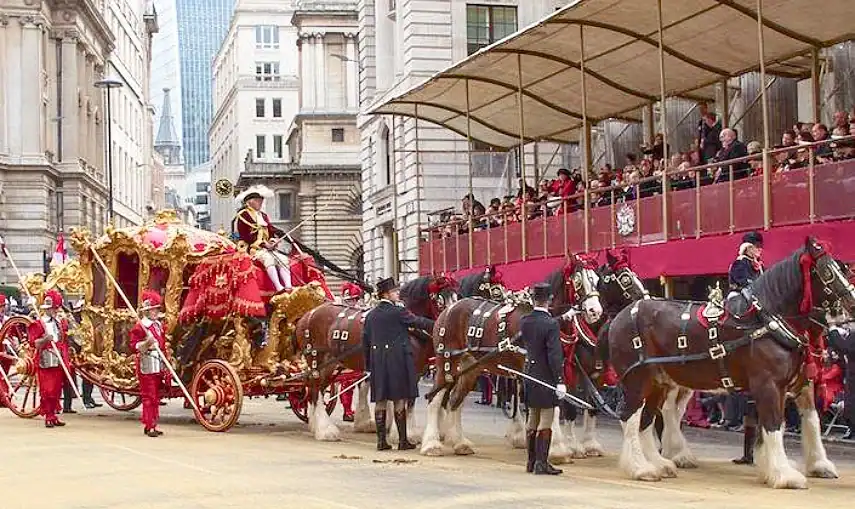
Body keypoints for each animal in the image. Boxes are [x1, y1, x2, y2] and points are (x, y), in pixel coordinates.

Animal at [290, 274, 458, 440]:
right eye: (439, 299)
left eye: (456, 296)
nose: (449, 324)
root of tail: (307, 314)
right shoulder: (407, 370)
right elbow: (405, 399)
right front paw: (403, 433)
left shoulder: (417, 370)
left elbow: (408, 401)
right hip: (316, 359)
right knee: (315, 389)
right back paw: (325, 430)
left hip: (329, 364)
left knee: (316, 388)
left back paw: (315, 425)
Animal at [418, 254, 604, 456]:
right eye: (577, 280)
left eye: (597, 280)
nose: (595, 311)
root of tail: (448, 310)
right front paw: (555, 449)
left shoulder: (558, 370)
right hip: (447, 363)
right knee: (435, 399)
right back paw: (431, 444)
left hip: (470, 368)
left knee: (455, 401)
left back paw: (460, 443)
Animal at [608, 238, 855, 488]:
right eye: (827, 271)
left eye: (843, 269)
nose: (851, 303)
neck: (765, 321)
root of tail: (622, 315)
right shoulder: (768, 385)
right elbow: (774, 425)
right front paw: (785, 474)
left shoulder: (792, 384)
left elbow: (805, 421)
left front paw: (800, 466)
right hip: (638, 381)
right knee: (631, 417)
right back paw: (641, 468)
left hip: (659, 383)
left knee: (649, 419)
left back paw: (660, 463)